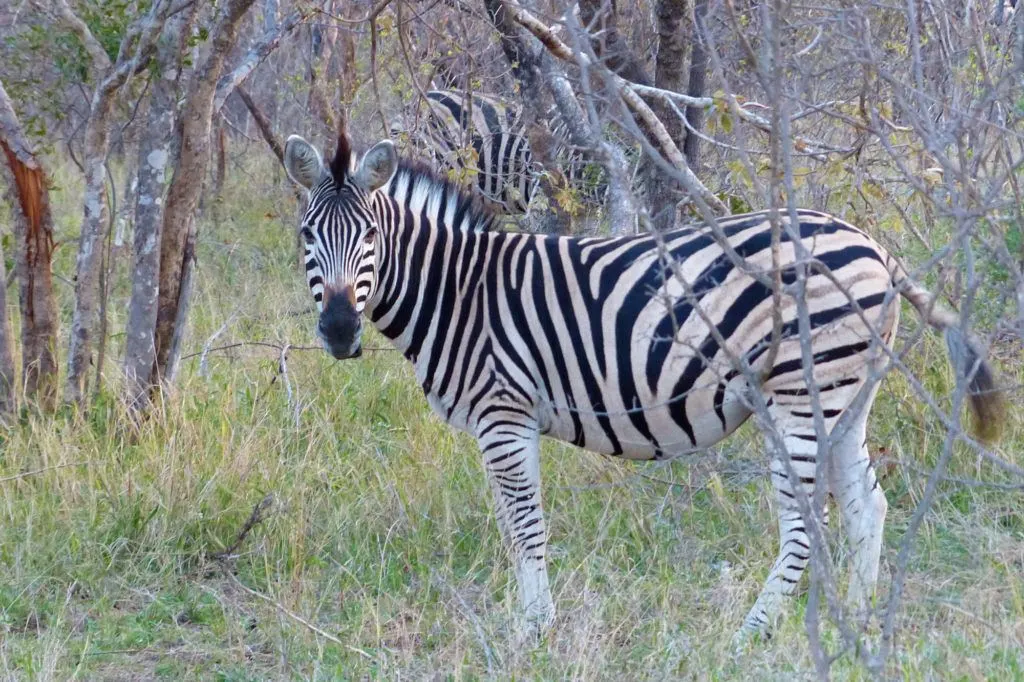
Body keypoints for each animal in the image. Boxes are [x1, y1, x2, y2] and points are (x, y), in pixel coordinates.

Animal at [281, 131, 1005, 642]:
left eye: (371, 236)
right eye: (307, 235)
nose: (339, 331)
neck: (460, 292)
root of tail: (876, 248)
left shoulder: (504, 413)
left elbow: (526, 528)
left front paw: (534, 633)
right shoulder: (499, 422)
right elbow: (515, 528)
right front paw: (531, 624)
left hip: (801, 393)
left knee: (806, 520)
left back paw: (751, 634)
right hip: (846, 393)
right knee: (866, 504)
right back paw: (859, 623)